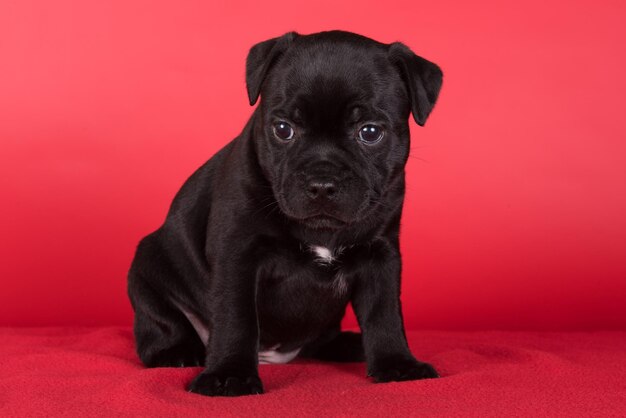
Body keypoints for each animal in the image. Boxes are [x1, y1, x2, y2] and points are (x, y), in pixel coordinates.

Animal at [127, 31, 442, 396]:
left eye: (370, 132)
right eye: (282, 129)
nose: (322, 183)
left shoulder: (381, 255)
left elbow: (385, 313)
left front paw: (397, 364)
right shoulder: (238, 254)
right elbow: (237, 317)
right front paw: (229, 374)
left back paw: (350, 345)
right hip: (147, 270)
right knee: (160, 324)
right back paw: (177, 352)